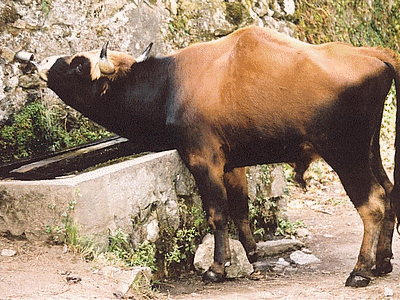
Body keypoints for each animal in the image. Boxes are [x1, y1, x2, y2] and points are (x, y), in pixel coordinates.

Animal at [39, 25, 400, 286]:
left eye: (78, 64)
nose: (33, 59)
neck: (169, 85)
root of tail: (375, 55)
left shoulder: (203, 159)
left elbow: (217, 213)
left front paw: (217, 267)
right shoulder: (232, 165)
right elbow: (240, 209)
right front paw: (250, 254)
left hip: (345, 154)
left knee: (373, 204)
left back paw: (360, 271)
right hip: (370, 150)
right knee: (389, 191)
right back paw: (382, 261)